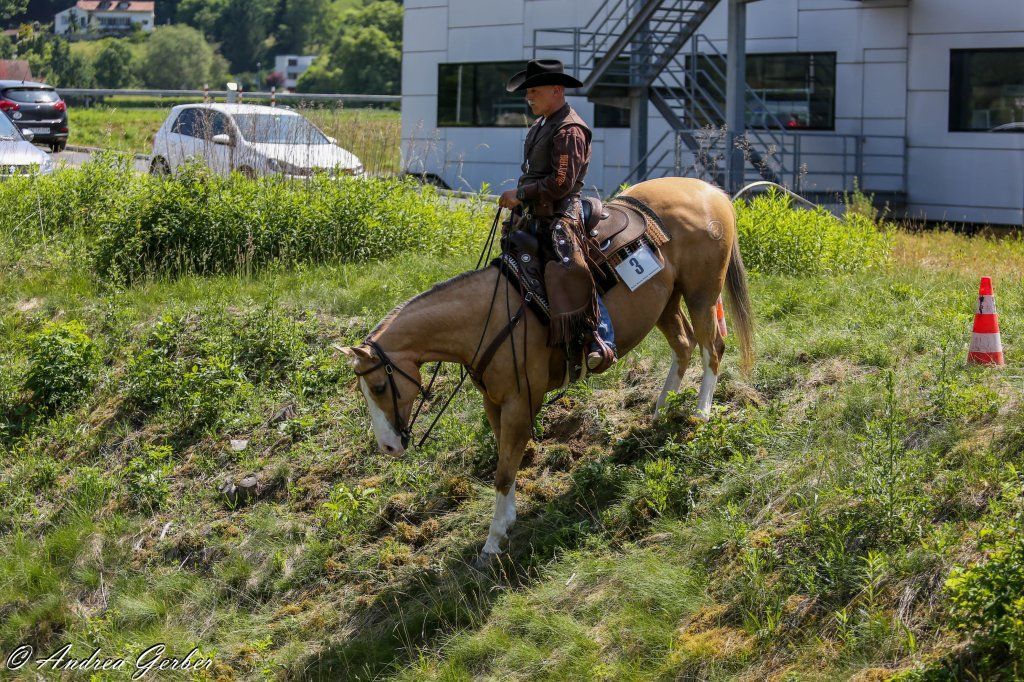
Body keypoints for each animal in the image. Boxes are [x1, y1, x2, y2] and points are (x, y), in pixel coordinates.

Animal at [339, 176, 754, 563]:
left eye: (379, 387)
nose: (388, 447)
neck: (490, 316)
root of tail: (711, 191)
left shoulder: (521, 403)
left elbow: (505, 470)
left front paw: (492, 543)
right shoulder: (495, 402)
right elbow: (505, 461)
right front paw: (507, 521)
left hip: (701, 293)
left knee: (712, 347)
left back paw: (701, 412)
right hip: (665, 301)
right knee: (683, 345)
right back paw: (661, 409)